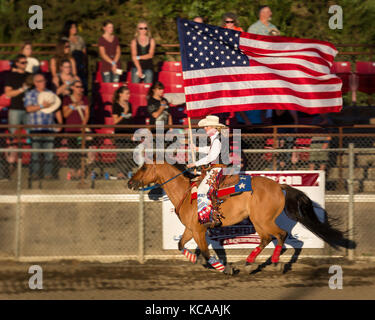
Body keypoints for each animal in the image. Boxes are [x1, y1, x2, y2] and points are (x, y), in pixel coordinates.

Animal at [128, 161, 356, 274]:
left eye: (144, 167)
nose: (130, 182)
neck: (186, 193)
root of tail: (279, 186)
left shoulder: (199, 230)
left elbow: (206, 252)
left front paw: (225, 268)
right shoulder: (190, 229)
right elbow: (181, 245)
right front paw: (194, 259)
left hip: (262, 220)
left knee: (280, 235)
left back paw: (269, 263)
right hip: (259, 222)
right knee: (270, 239)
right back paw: (251, 262)